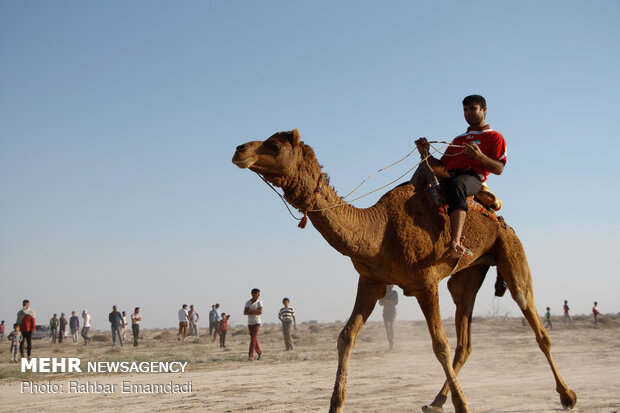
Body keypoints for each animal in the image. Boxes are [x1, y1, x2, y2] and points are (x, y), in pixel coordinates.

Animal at [231, 129, 576, 412]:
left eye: (275, 145)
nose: (239, 149)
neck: (379, 230)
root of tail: (500, 218)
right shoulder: (370, 281)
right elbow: (346, 336)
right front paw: (335, 404)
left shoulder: (425, 283)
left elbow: (439, 344)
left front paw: (465, 406)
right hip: (467, 275)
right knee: (464, 339)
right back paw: (437, 402)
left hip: (511, 251)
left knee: (533, 319)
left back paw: (567, 395)